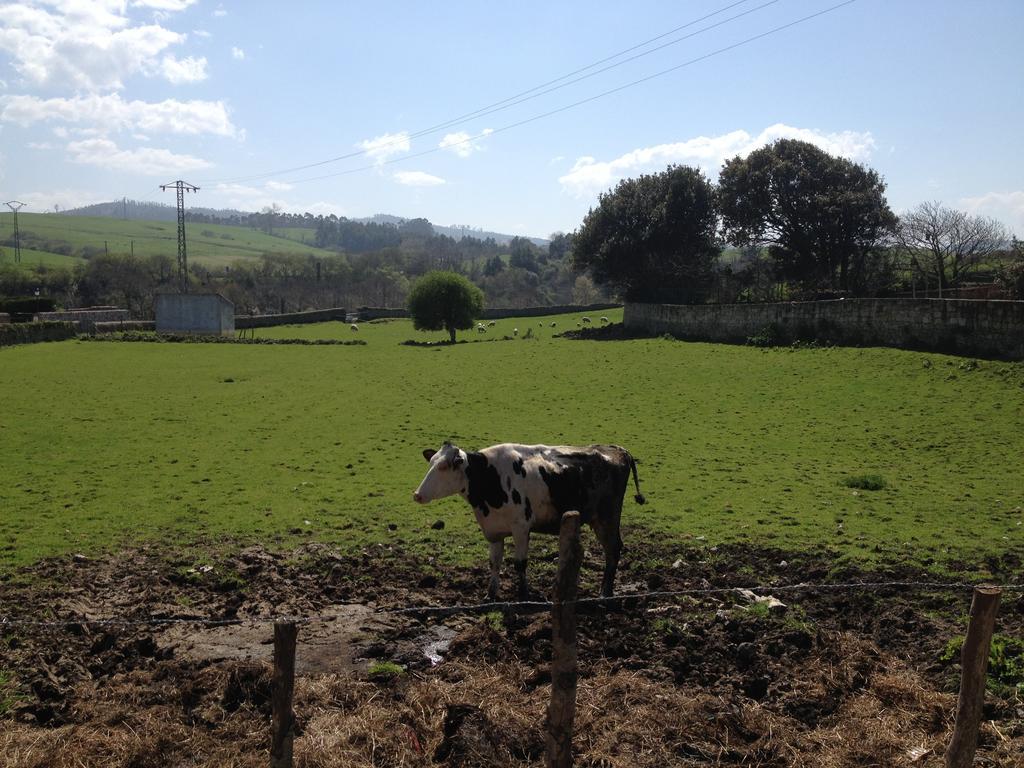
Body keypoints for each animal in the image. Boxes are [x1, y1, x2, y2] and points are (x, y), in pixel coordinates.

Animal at [411, 444, 643, 602]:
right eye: (431, 462)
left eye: (443, 466)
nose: (417, 495)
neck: (489, 478)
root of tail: (616, 449)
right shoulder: (493, 530)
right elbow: (494, 563)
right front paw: (490, 595)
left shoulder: (521, 527)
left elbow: (520, 563)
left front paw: (523, 595)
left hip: (607, 517)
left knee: (613, 550)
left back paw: (605, 593)